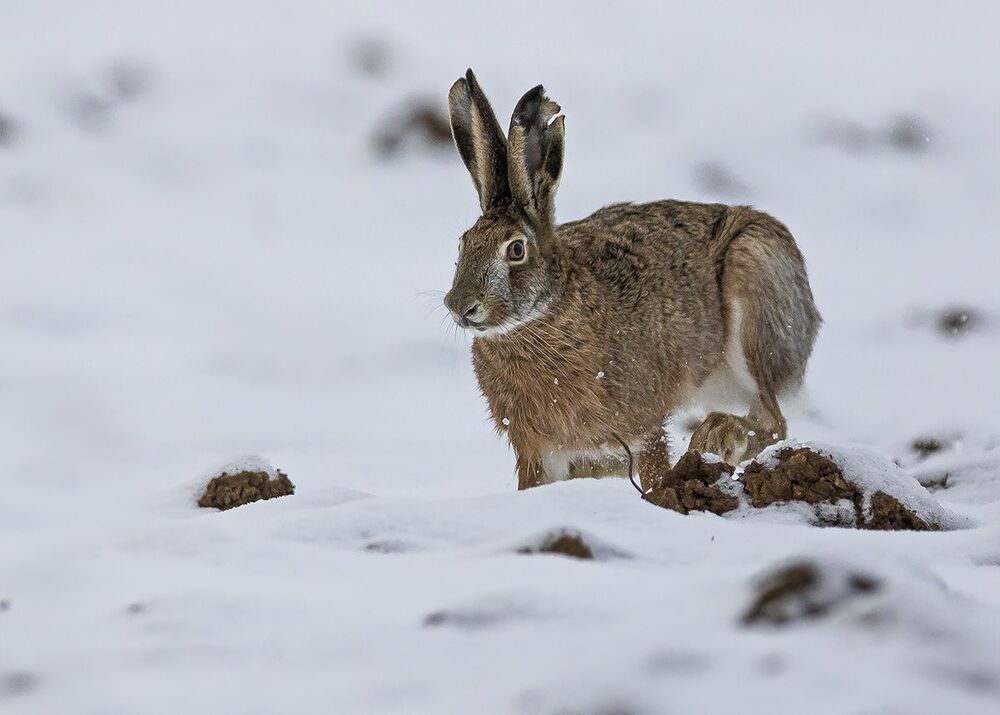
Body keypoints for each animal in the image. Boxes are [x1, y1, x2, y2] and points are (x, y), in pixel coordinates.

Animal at [443, 69, 821, 490]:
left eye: (516, 250)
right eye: (463, 244)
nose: (459, 305)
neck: (542, 320)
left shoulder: (642, 427)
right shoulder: (540, 452)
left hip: (753, 282)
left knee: (773, 421)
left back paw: (716, 438)